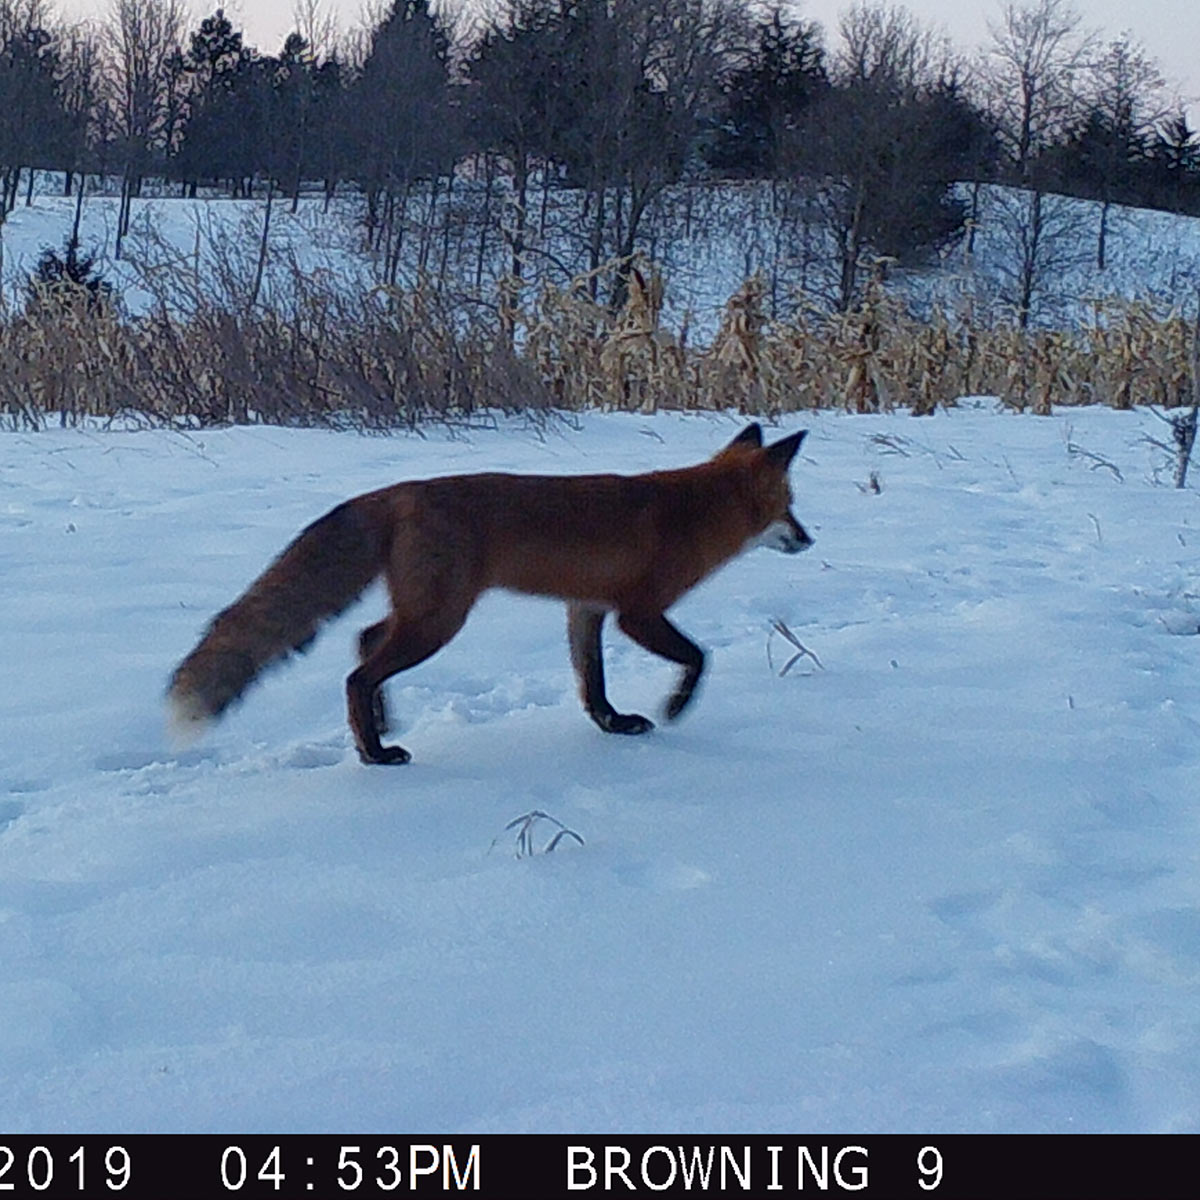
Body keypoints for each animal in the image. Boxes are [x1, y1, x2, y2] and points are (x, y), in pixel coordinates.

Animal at [166, 422, 806, 758]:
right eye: (790, 506)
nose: (809, 537)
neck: (692, 512)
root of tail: (395, 491)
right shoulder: (639, 613)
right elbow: (699, 657)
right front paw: (674, 707)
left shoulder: (586, 609)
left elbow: (592, 683)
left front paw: (613, 725)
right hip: (440, 620)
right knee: (357, 673)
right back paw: (375, 754)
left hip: (425, 612)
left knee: (365, 640)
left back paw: (383, 724)